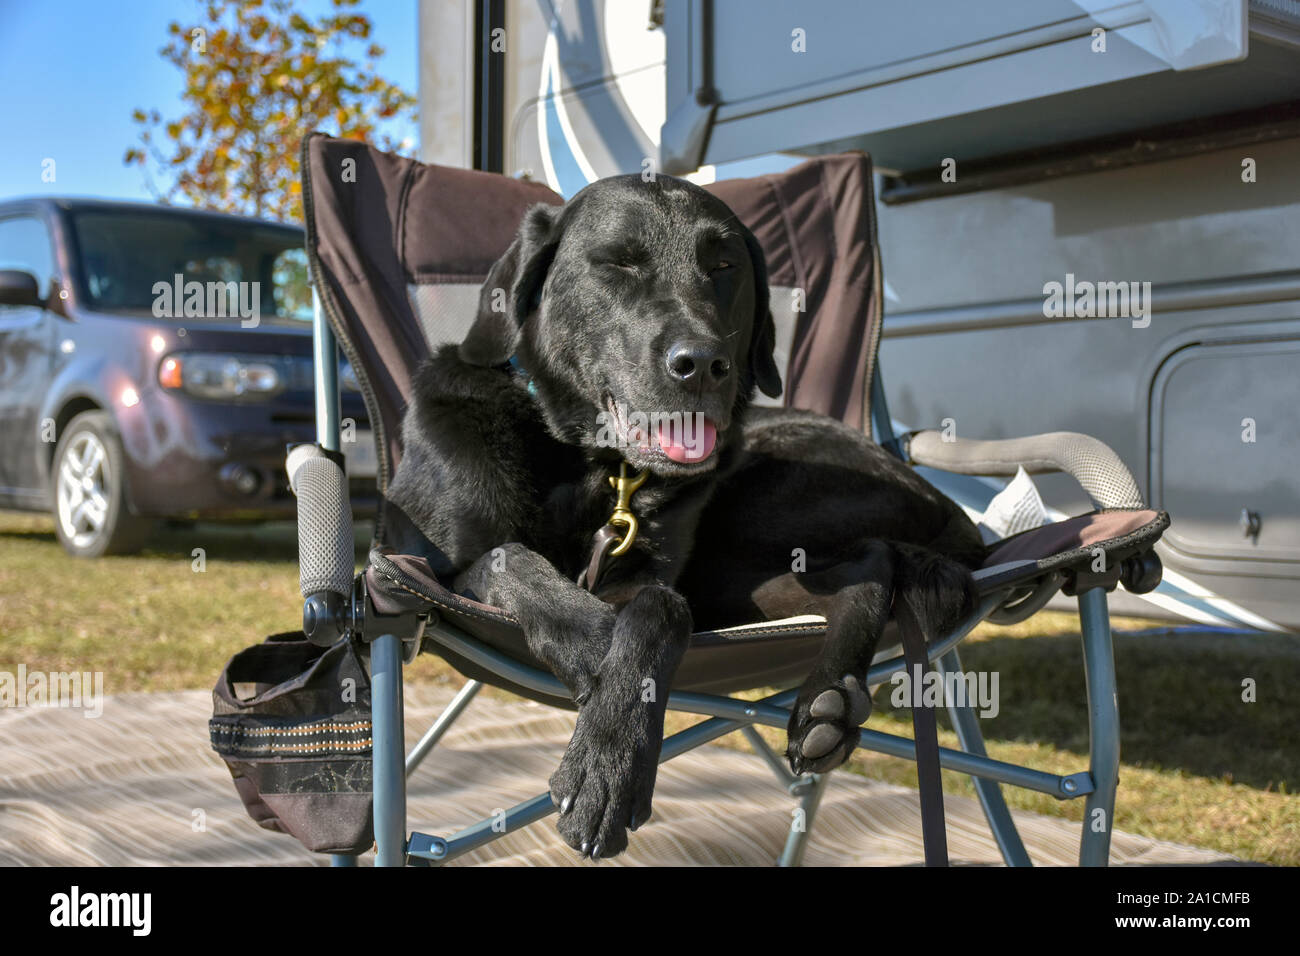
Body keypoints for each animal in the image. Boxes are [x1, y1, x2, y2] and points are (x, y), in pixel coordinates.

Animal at [384, 171, 982, 858]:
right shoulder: (429, 564)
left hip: (749, 518)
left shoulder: (647, 581)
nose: (700, 364)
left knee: (871, 561)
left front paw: (607, 766)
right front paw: (594, 644)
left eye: (724, 266)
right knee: (863, 567)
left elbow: (662, 609)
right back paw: (831, 698)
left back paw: (829, 700)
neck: (594, 468)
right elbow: (511, 557)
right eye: (617, 262)